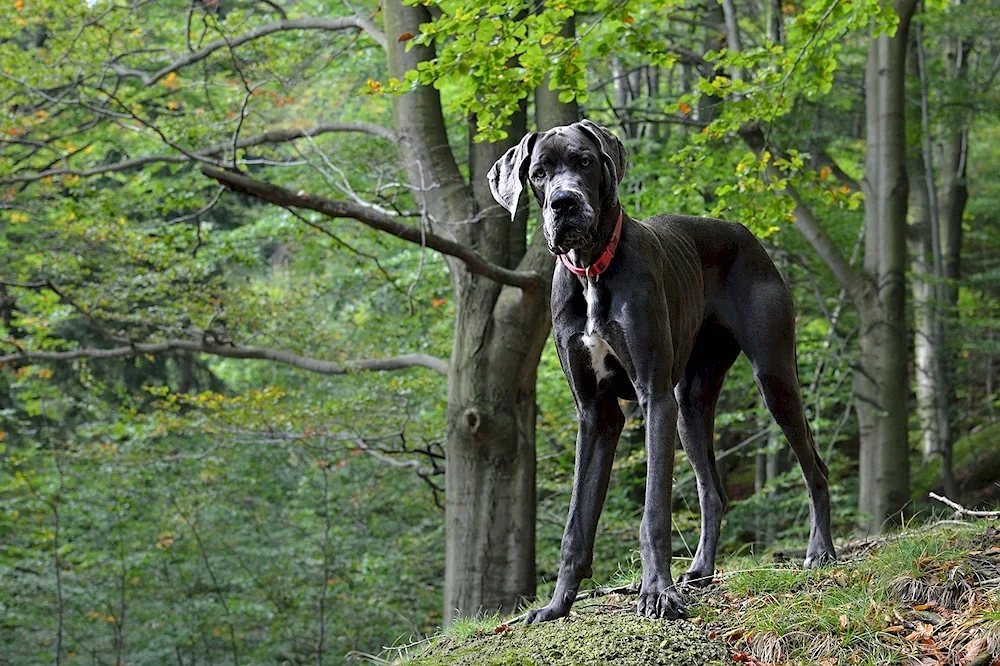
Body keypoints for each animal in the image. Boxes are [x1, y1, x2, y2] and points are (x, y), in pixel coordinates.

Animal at [488, 120, 840, 624]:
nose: (564, 203)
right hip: (690, 404)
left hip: (773, 378)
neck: (592, 271)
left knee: (815, 468)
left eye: (584, 161)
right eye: (538, 173)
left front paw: (656, 592)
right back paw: (702, 570)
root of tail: (746, 233)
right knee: (713, 491)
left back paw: (820, 551)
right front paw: (556, 605)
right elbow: (576, 523)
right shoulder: (596, 415)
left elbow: (653, 511)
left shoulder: (654, 397)